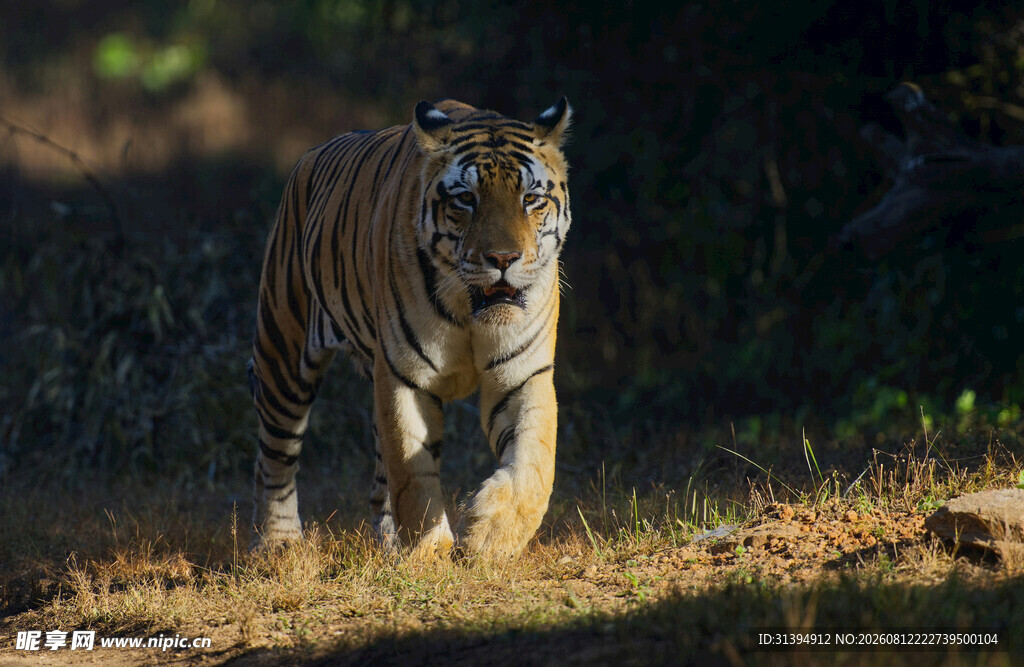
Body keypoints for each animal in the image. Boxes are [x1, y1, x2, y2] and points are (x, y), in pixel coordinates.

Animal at [248, 97, 572, 559]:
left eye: (530, 199)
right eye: (466, 199)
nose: (503, 258)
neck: (469, 310)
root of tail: (309, 156)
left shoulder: (523, 374)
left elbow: (534, 462)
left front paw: (490, 535)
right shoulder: (405, 377)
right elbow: (412, 473)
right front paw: (429, 554)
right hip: (282, 352)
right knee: (273, 458)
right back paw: (279, 545)